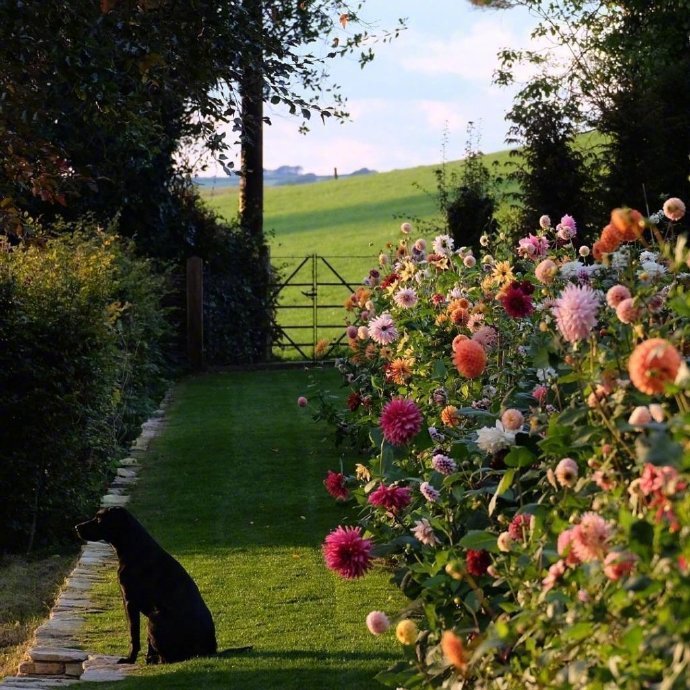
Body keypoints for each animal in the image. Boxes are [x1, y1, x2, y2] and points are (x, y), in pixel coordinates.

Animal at [76, 506, 219, 660]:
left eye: (99, 519)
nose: (76, 527)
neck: (133, 546)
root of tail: (210, 647)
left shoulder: (130, 602)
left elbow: (134, 635)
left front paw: (130, 659)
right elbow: (147, 641)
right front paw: (148, 658)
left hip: (155, 616)